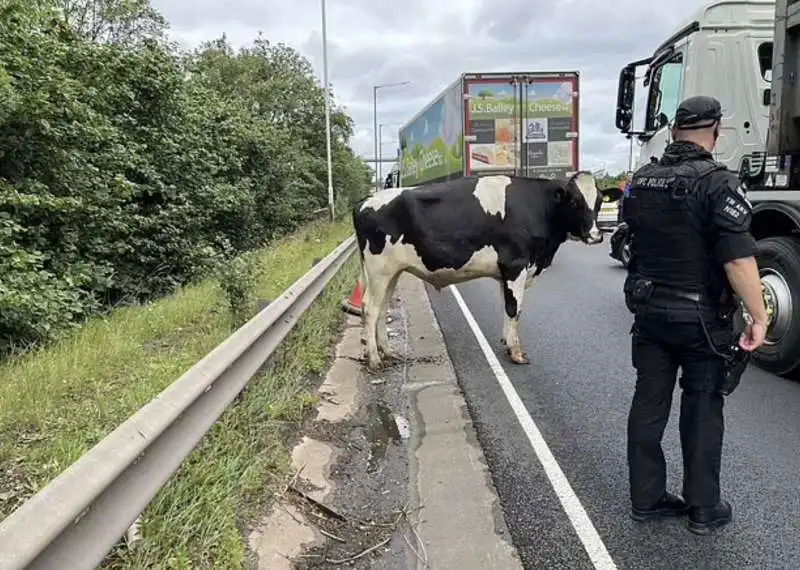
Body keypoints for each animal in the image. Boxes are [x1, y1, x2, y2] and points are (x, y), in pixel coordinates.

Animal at [354, 171, 604, 368]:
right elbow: (515, 309)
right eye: (574, 202)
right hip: (379, 270)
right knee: (370, 308)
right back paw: (374, 359)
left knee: (382, 308)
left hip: (391, 272)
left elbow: (508, 308)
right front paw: (516, 353)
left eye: (599, 202)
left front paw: (507, 344)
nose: (596, 235)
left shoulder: (506, 273)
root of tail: (364, 201)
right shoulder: (515, 266)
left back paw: (388, 352)